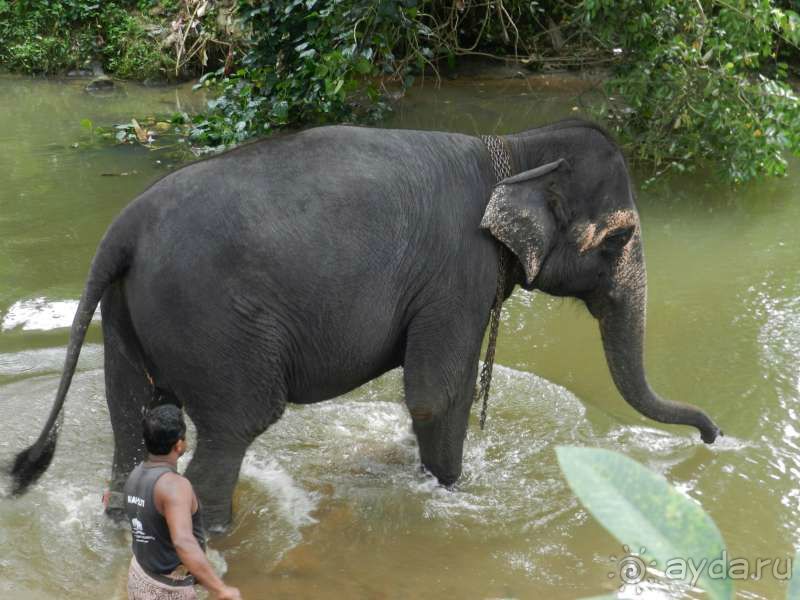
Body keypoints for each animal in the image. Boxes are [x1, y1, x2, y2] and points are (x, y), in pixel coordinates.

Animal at [6, 118, 720, 528]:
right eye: (618, 238)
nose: (713, 434)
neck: (516, 148)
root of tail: (121, 230)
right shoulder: (457, 271)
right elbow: (436, 394)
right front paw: (451, 491)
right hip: (214, 324)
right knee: (232, 430)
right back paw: (216, 539)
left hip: (127, 315)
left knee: (130, 420)